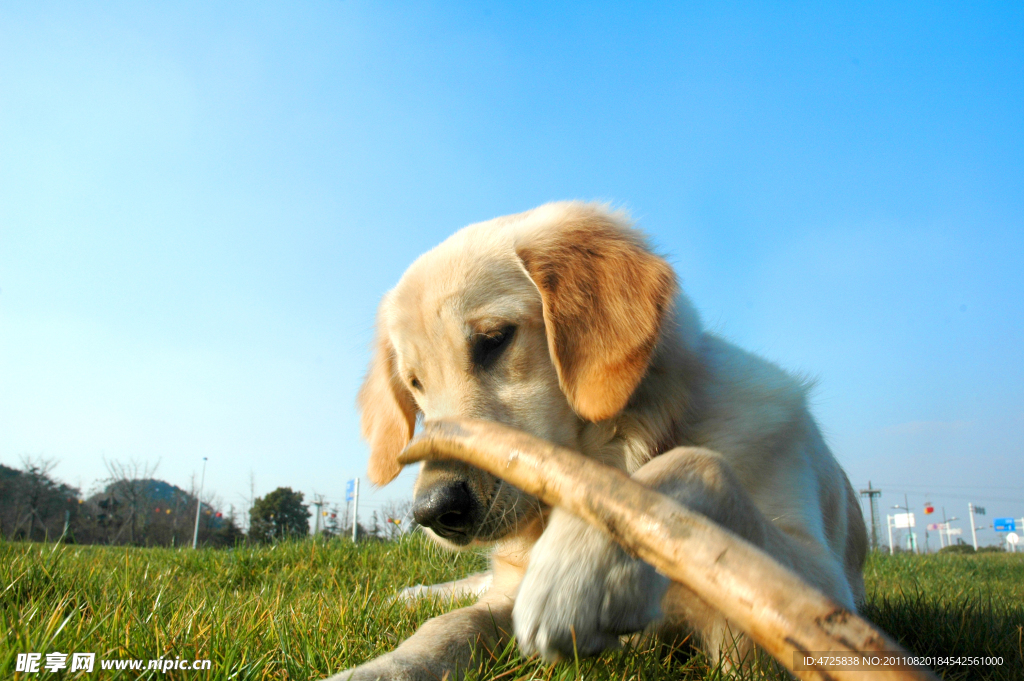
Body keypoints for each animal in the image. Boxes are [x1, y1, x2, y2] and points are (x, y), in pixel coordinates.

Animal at [327, 201, 864, 679]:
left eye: (495, 339)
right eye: (415, 385)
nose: (434, 511)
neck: (637, 440)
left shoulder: (813, 605)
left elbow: (695, 464)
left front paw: (580, 569)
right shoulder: (504, 597)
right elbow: (449, 627)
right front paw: (379, 669)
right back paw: (414, 593)